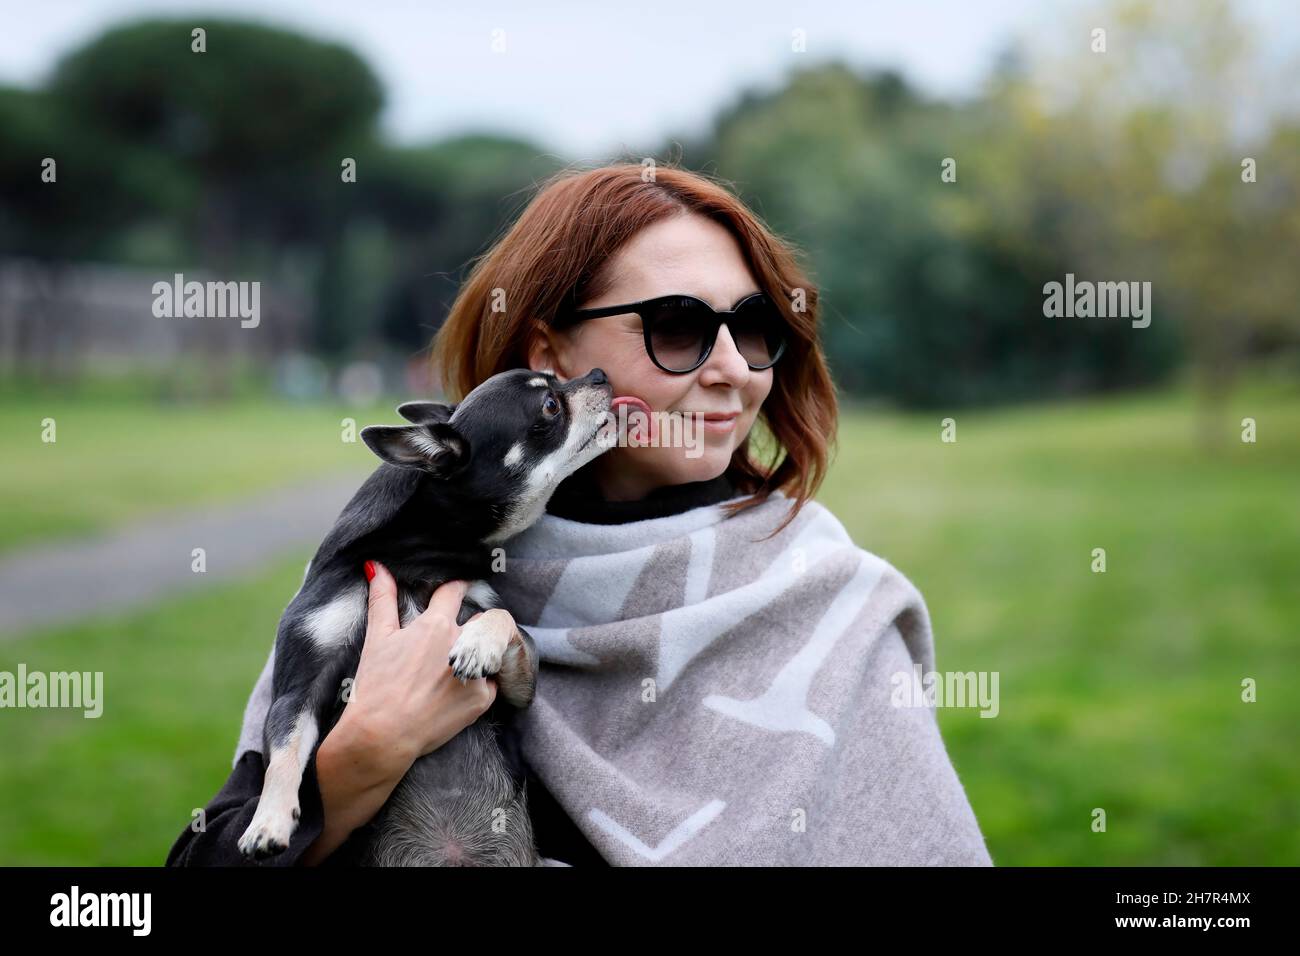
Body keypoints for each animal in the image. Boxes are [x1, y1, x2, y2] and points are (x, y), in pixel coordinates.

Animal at [240, 366, 618, 868]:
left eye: (559, 381)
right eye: (551, 406)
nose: (598, 373)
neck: (416, 558)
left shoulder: (520, 681)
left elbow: (499, 617)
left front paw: (475, 645)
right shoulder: (298, 688)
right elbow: (283, 750)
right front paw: (268, 821)